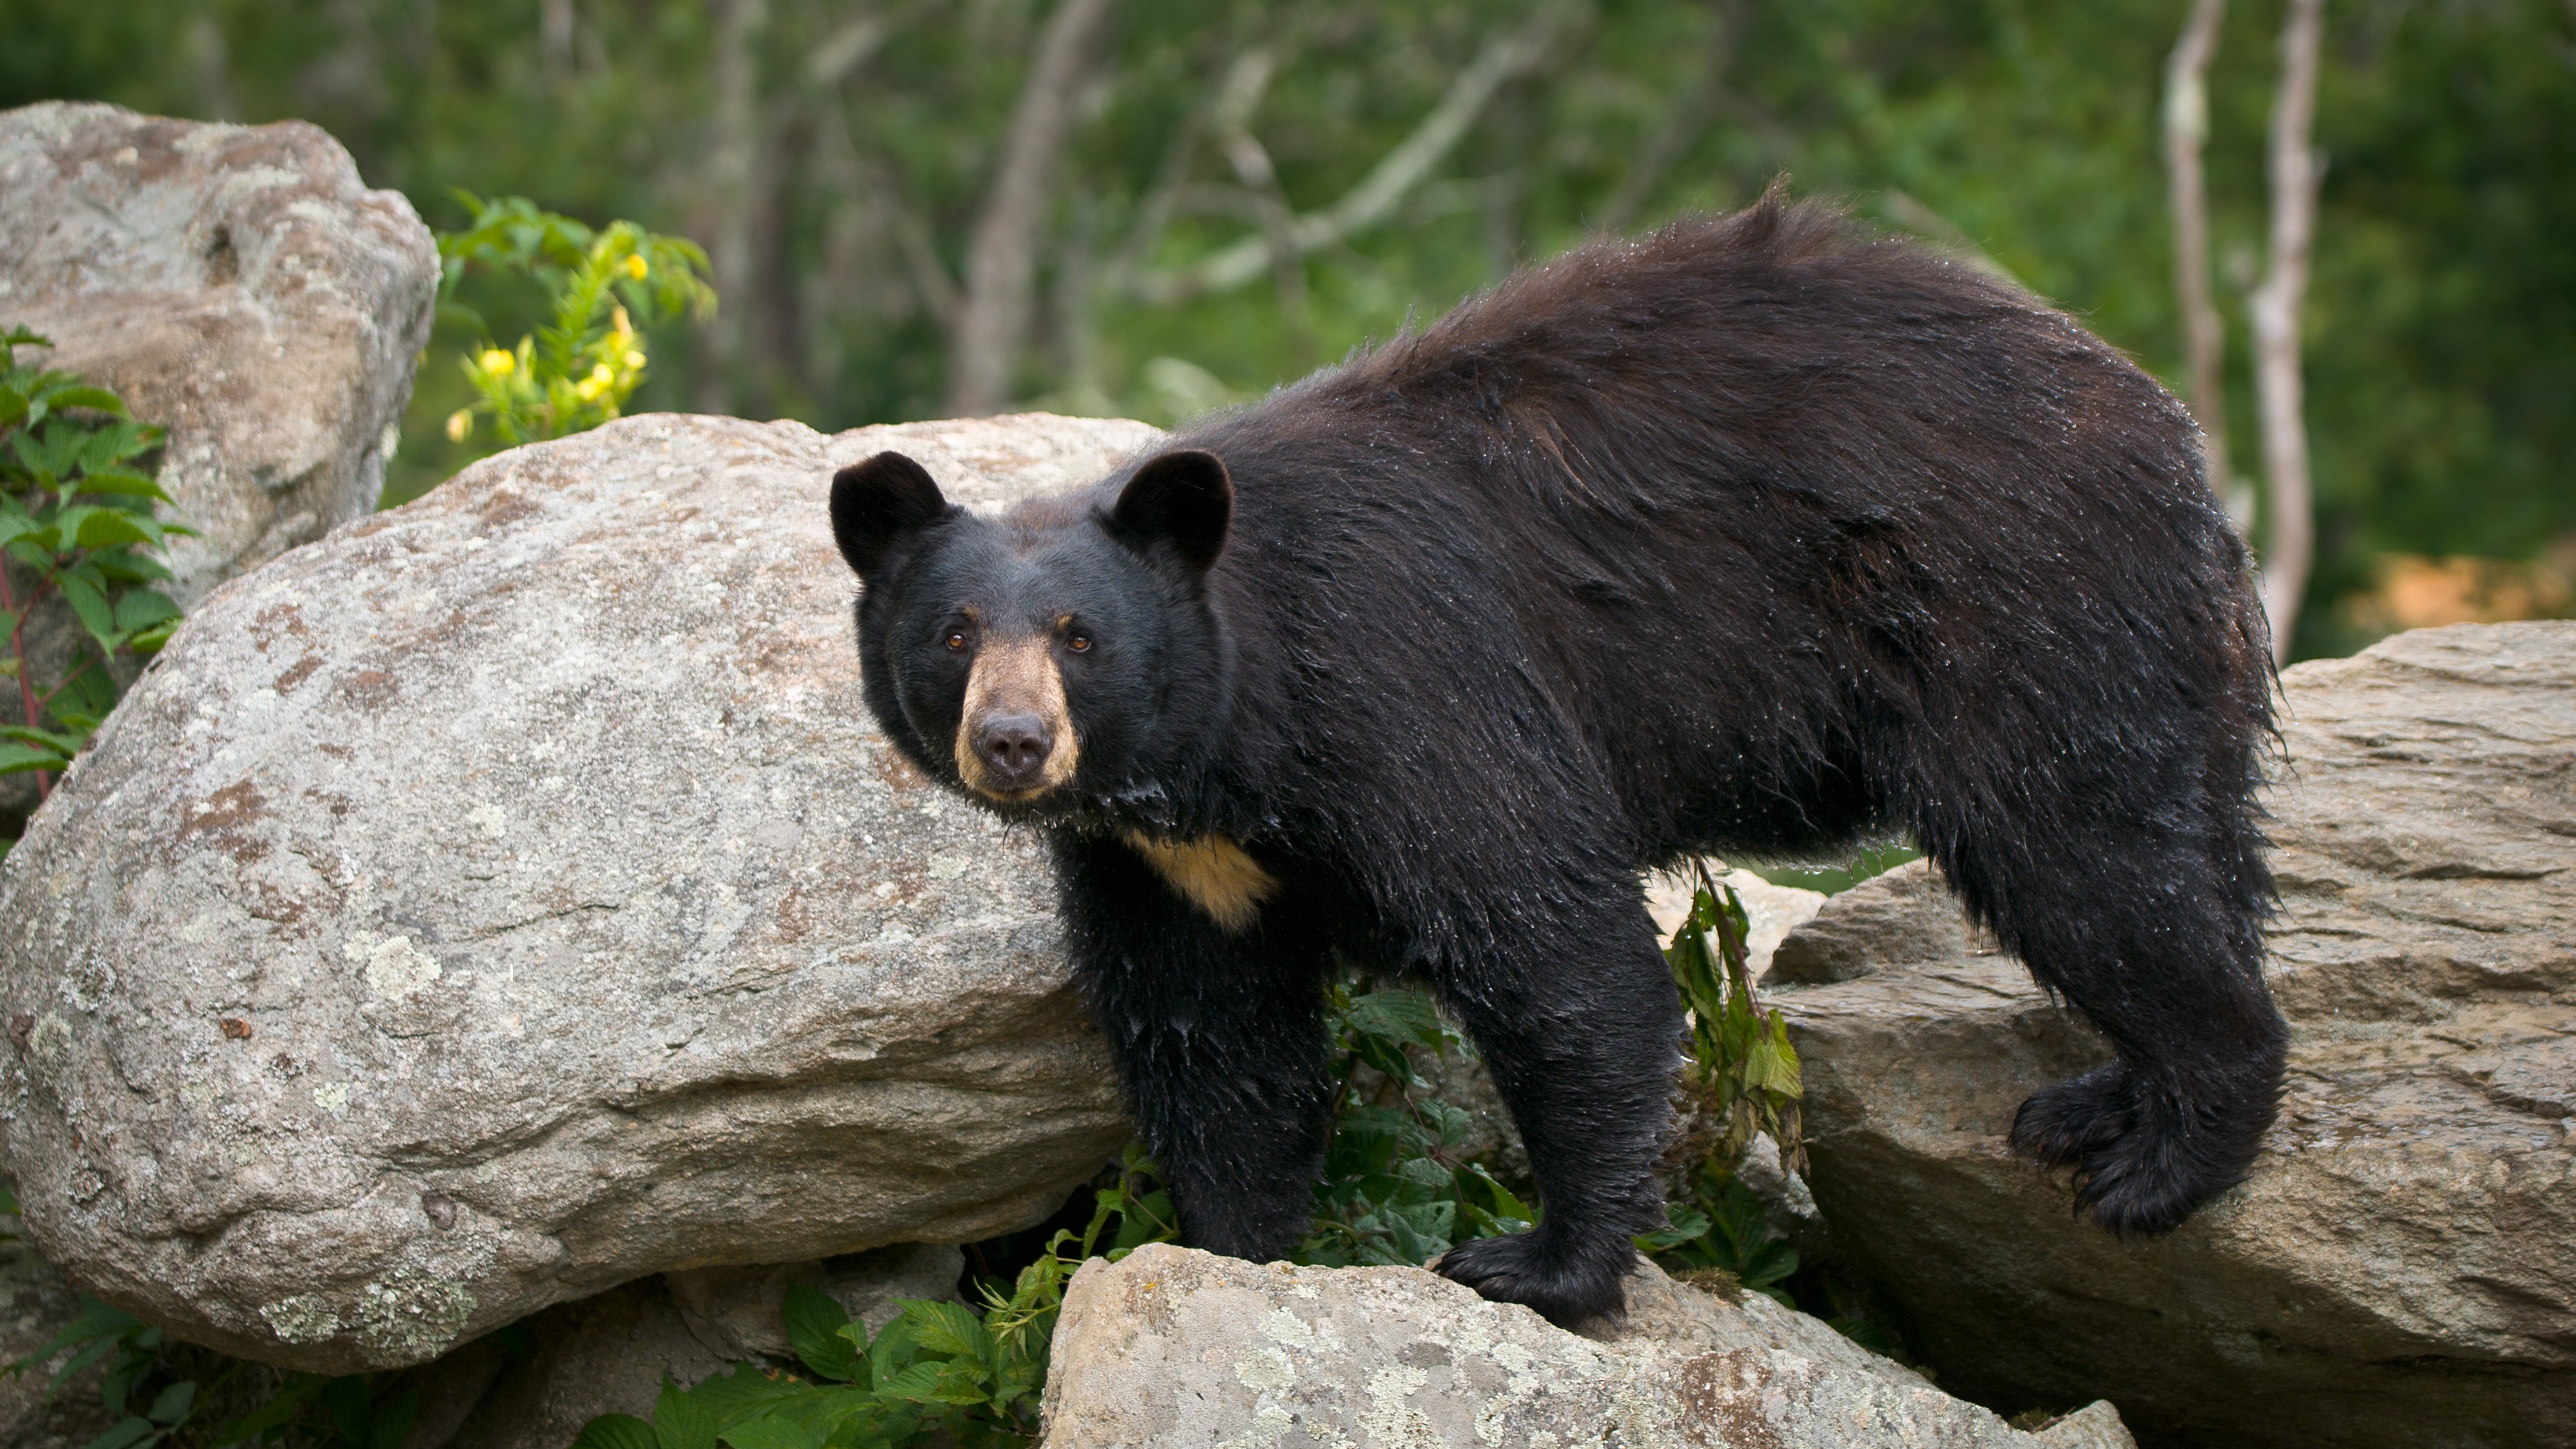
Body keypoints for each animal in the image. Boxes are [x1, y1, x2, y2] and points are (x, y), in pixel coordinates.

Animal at [824, 198, 2277, 1328]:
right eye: (954, 633)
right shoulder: (1168, 865)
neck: (1227, 752)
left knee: (2081, 857)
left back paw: (2163, 1156)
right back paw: (2103, 1102)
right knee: (2194, 845)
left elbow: (1551, 946)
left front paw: (1538, 1263)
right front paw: (1235, 1248)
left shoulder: (1408, 688)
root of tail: (2171, 434)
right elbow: (1214, 1043)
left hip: (2017, 609)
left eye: (1081, 636)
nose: (1013, 743)